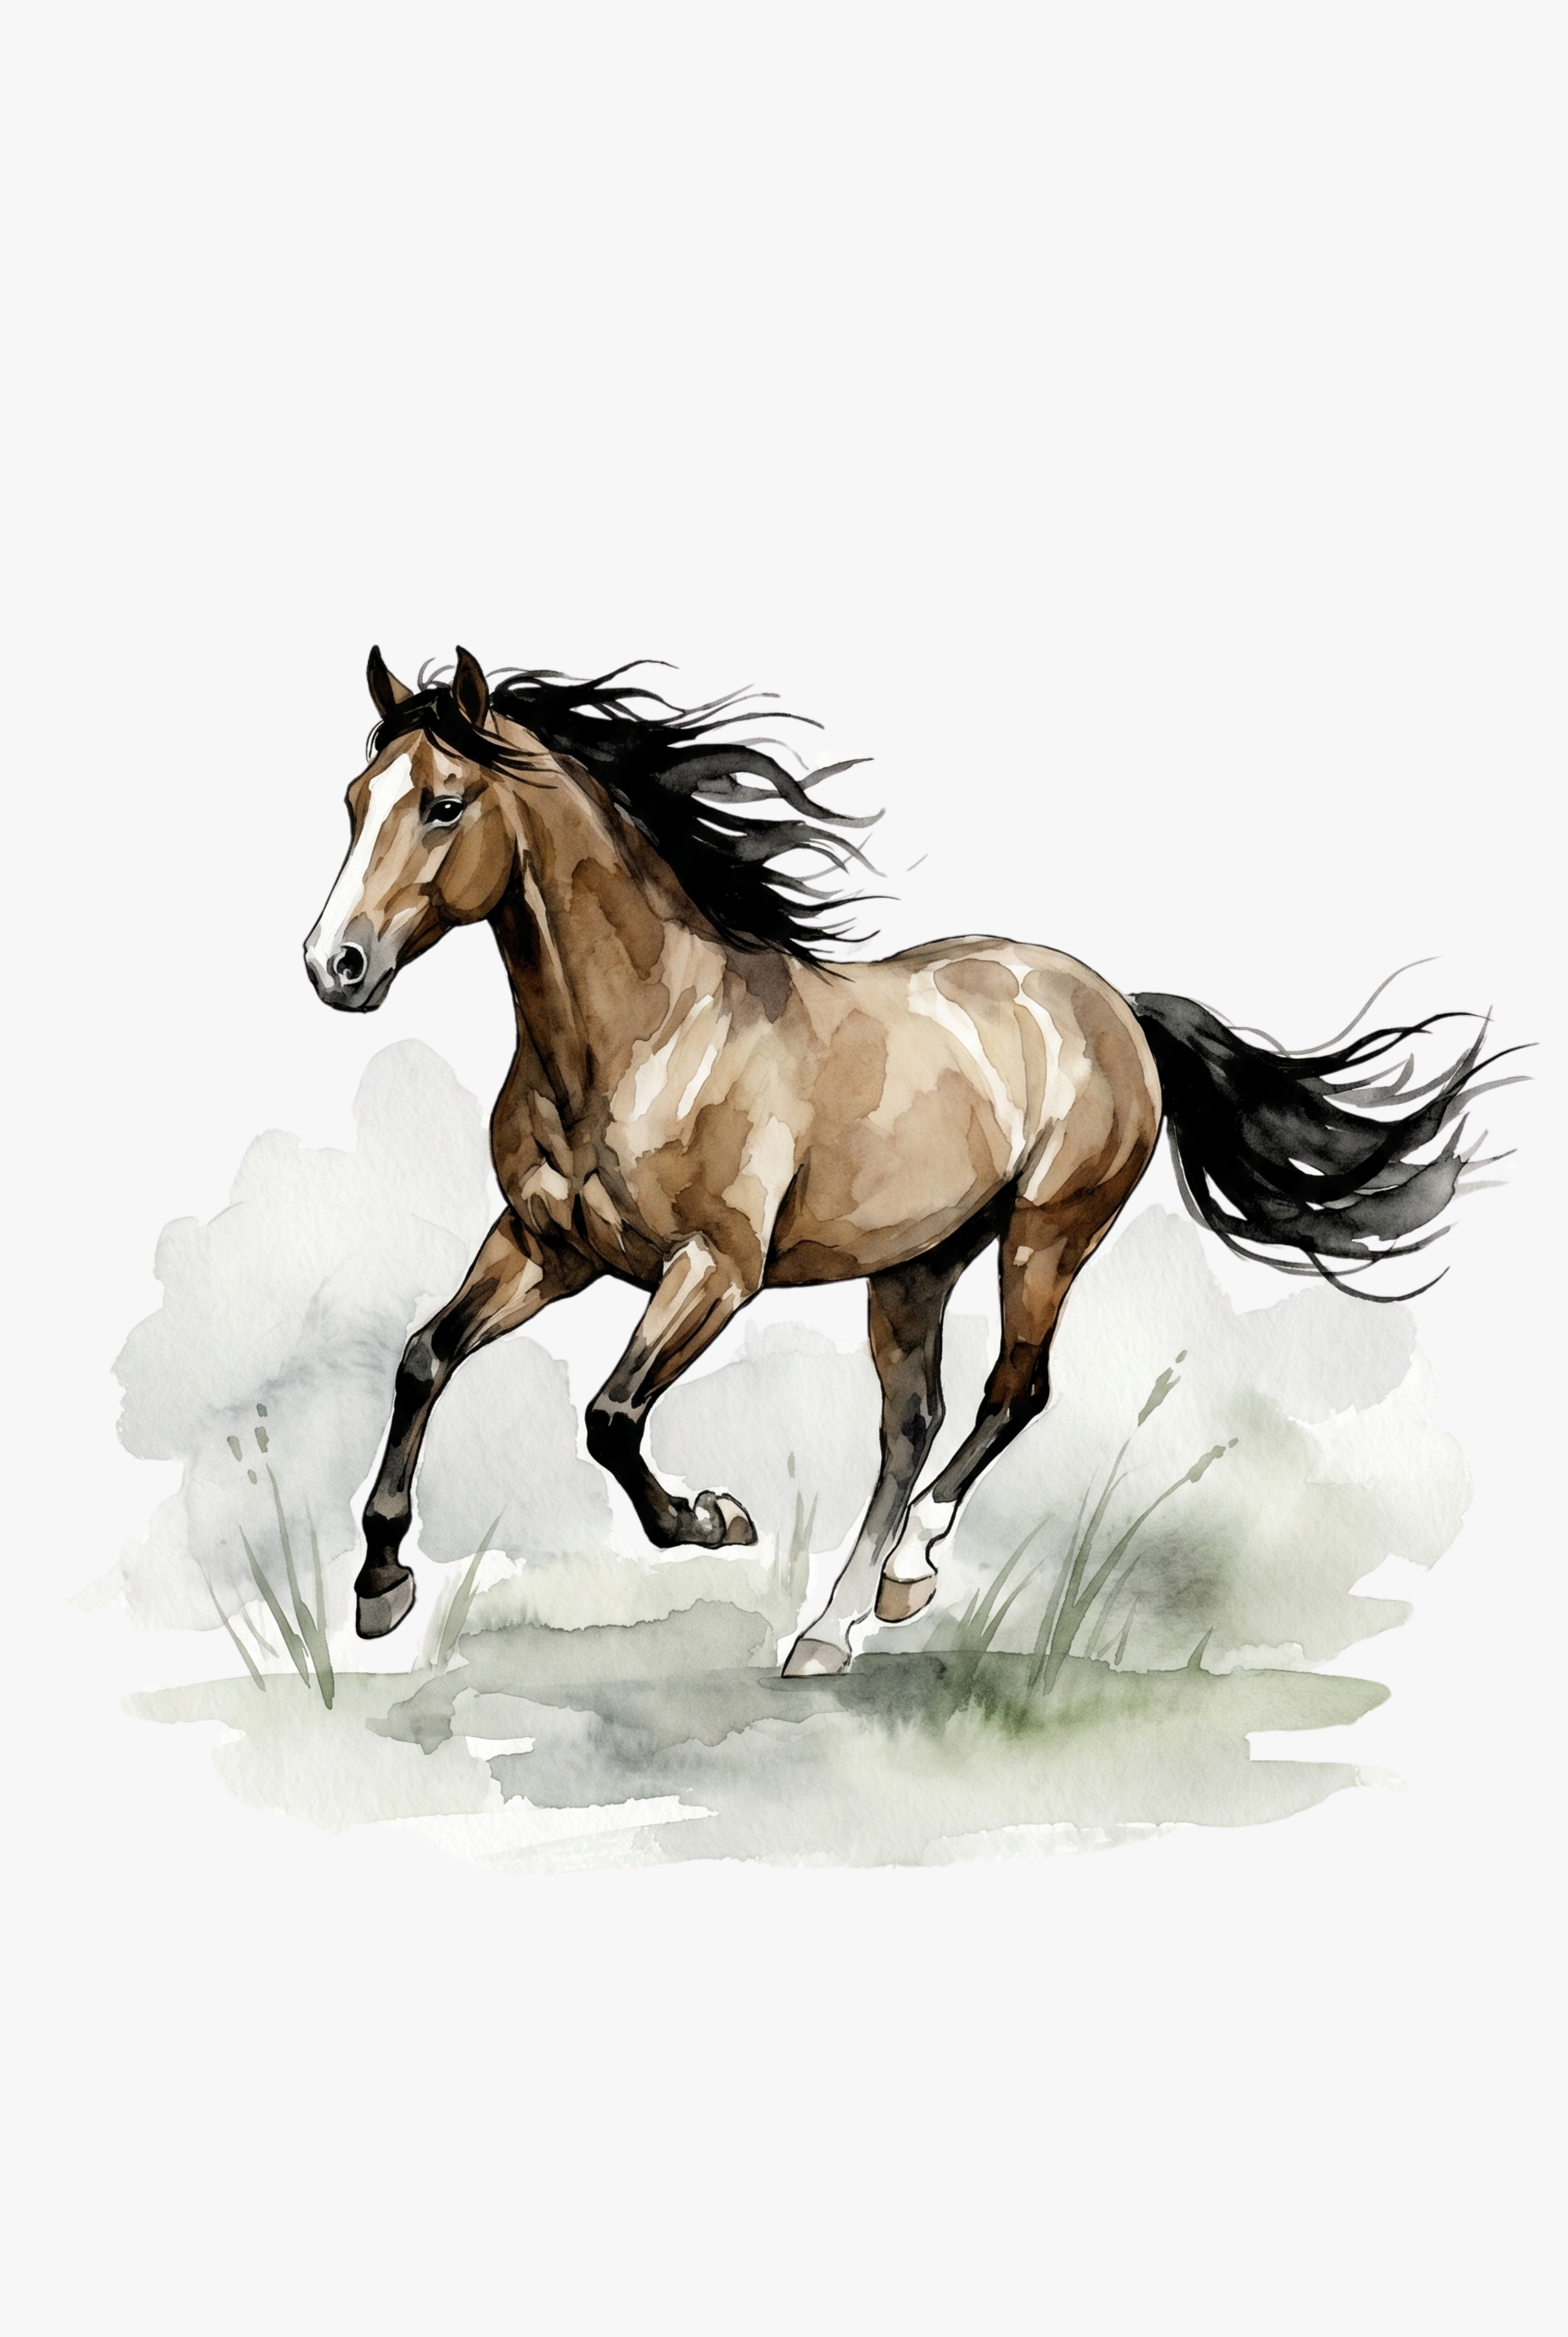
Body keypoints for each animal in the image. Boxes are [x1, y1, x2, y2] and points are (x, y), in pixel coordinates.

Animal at [304, 646, 1497, 1676]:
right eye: (356, 799)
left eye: (444, 803)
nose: (334, 965)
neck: (647, 1037)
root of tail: (1112, 1002)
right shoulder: (547, 1246)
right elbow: (423, 1358)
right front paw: (379, 1584)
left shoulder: (715, 1269)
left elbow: (610, 1418)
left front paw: (713, 1519)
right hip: (918, 1263)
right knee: (909, 1424)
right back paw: (828, 1628)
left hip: (1046, 1234)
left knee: (1012, 1393)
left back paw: (906, 1575)